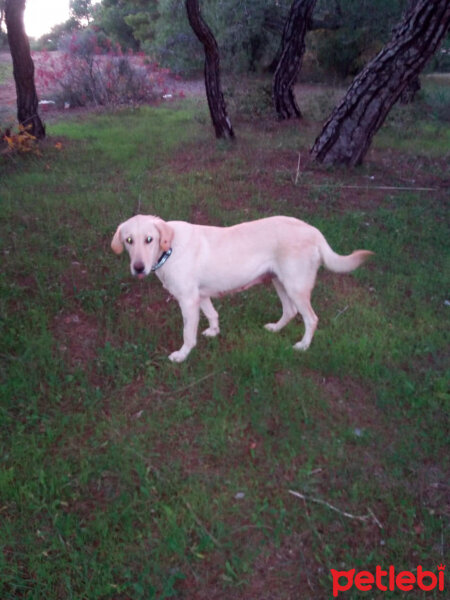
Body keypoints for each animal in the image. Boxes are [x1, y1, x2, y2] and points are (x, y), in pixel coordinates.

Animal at [111, 217, 372, 364]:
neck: (169, 248)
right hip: (279, 282)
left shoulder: (187, 300)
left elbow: (188, 334)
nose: (138, 268)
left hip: (296, 286)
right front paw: (214, 331)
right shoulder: (200, 296)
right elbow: (212, 314)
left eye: (149, 239)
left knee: (311, 318)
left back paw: (303, 346)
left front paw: (182, 355)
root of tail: (314, 231)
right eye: (129, 241)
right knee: (290, 312)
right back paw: (275, 329)